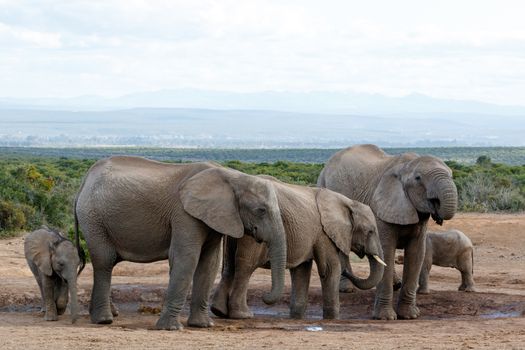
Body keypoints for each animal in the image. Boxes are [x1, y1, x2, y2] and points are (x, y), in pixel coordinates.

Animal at [74, 157, 286, 330]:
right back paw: (104, 320)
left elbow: (209, 263)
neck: (233, 176)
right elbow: (186, 259)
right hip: (93, 218)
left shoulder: (213, 217)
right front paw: (171, 328)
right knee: (104, 261)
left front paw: (203, 325)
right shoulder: (184, 214)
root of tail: (84, 180)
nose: (266, 298)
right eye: (261, 210)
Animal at [318, 144, 456, 320]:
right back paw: (346, 288)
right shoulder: (381, 209)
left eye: (451, 175)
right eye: (418, 178)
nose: (438, 214)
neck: (406, 166)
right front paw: (385, 317)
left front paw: (410, 316)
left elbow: (417, 253)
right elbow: (386, 250)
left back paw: (395, 284)